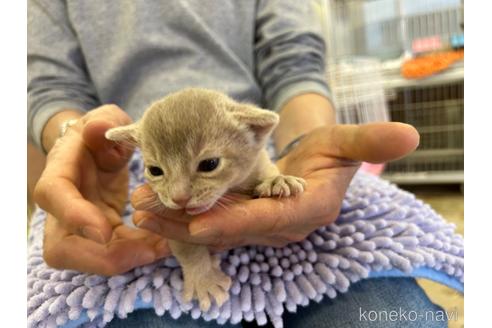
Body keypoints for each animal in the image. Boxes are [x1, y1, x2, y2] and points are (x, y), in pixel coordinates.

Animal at [106, 88, 306, 312]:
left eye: (210, 164)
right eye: (155, 170)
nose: (179, 198)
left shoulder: (260, 163)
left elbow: (270, 172)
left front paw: (277, 180)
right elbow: (188, 250)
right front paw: (203, 281)